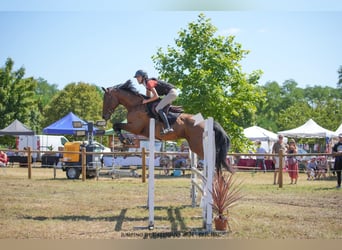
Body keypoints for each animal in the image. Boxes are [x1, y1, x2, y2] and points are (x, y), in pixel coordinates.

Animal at [101, 80, 234, 174]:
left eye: (107, 99)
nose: (104, 116)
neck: (136, 106)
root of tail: (206, 122)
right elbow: (117, 126)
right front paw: (126, 141)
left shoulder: (135, 127)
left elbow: (117, 125)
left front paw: (126, 140)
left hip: (198, 145)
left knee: (213, 161)